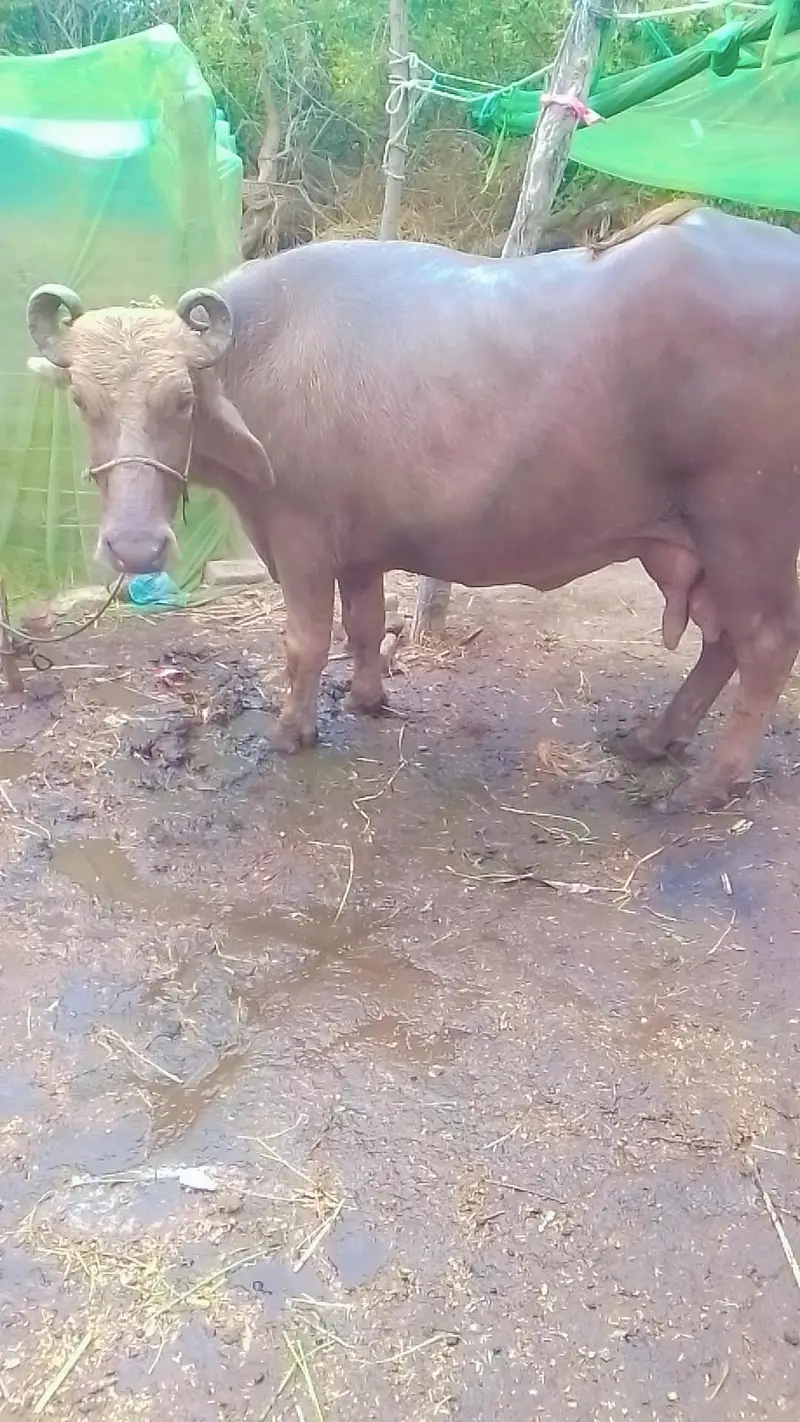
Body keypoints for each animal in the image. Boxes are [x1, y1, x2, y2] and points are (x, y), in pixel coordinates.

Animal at [26, 206, 800, 811]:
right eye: (82, 402)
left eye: (181, 400)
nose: (134, 548)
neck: (261, 352)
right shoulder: (359, 547)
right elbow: (366, 625)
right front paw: (367, 698)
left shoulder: (300, 535)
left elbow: (306, 640)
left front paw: (291, 730)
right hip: (693, 544)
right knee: (722, 642)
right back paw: (654, 738)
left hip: (746, 529)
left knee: (764, 645)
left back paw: (709, 782)